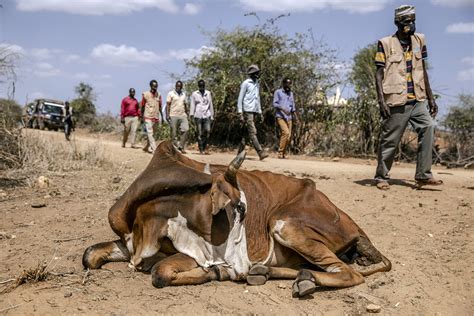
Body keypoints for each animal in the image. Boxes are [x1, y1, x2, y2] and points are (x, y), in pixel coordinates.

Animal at [83, 142, 390, 298]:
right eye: (239, 207)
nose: (236, 263)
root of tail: (353, 225)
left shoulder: (200, 254)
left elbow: (160, 272)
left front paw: (215, 272)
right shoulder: (129, 242)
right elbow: (90, 255)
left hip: (285, 225)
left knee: (349, 273)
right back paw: (269, 273)